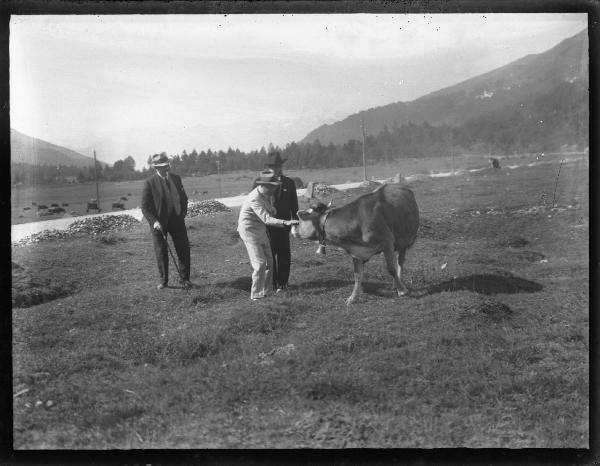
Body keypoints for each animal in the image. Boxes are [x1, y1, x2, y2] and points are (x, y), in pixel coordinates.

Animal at [292, 184, 420, 304]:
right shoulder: (356, 252)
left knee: (400, 262)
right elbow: (357, 275)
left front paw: (402, 291)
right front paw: (353, 298)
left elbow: (391, 269)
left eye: (300, 220)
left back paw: (399, 283)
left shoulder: (387, 242)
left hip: (404, 240)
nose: (293, 229)